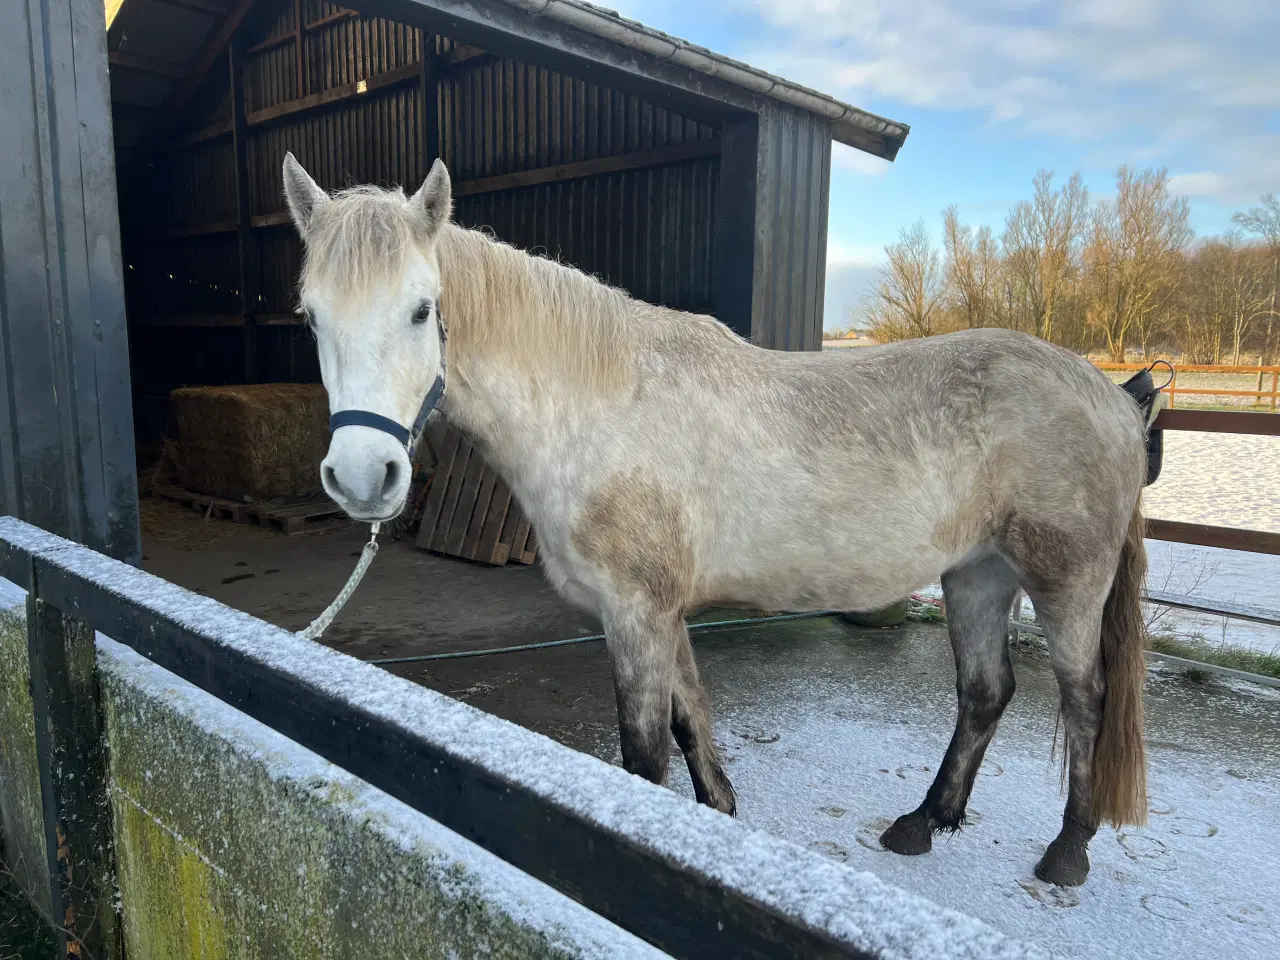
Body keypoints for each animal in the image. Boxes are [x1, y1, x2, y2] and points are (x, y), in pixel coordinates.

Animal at [285, 152, 1157, 885]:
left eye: (420, 310)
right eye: (311, 318)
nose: (363, 477)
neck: (598, 403)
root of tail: (1114, 398)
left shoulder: (636, 612)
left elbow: (644, 755)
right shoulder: (660, 612)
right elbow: (691, 722)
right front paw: (719, 822)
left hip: (1065, 583)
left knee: (1086, 698)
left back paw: (1068, 850)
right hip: (977, 573)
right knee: (984, 691)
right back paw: (924, 821)